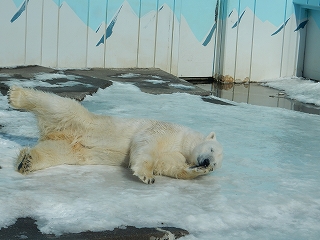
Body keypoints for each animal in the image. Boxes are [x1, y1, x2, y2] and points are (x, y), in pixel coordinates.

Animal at [7, 86, 222, 184]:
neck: (183, 140)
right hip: (80, 122)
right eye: (212, 150)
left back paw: (26, 161)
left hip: (70, 149)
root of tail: (54, 133)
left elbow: (169, 165)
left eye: (216, 164)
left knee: (52, 152)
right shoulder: (166, 130)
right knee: (58, 106)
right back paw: (16, 96)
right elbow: (147, 143)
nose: (207, 163)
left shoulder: (175, 154)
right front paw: (147, 176)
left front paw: (196, 171)